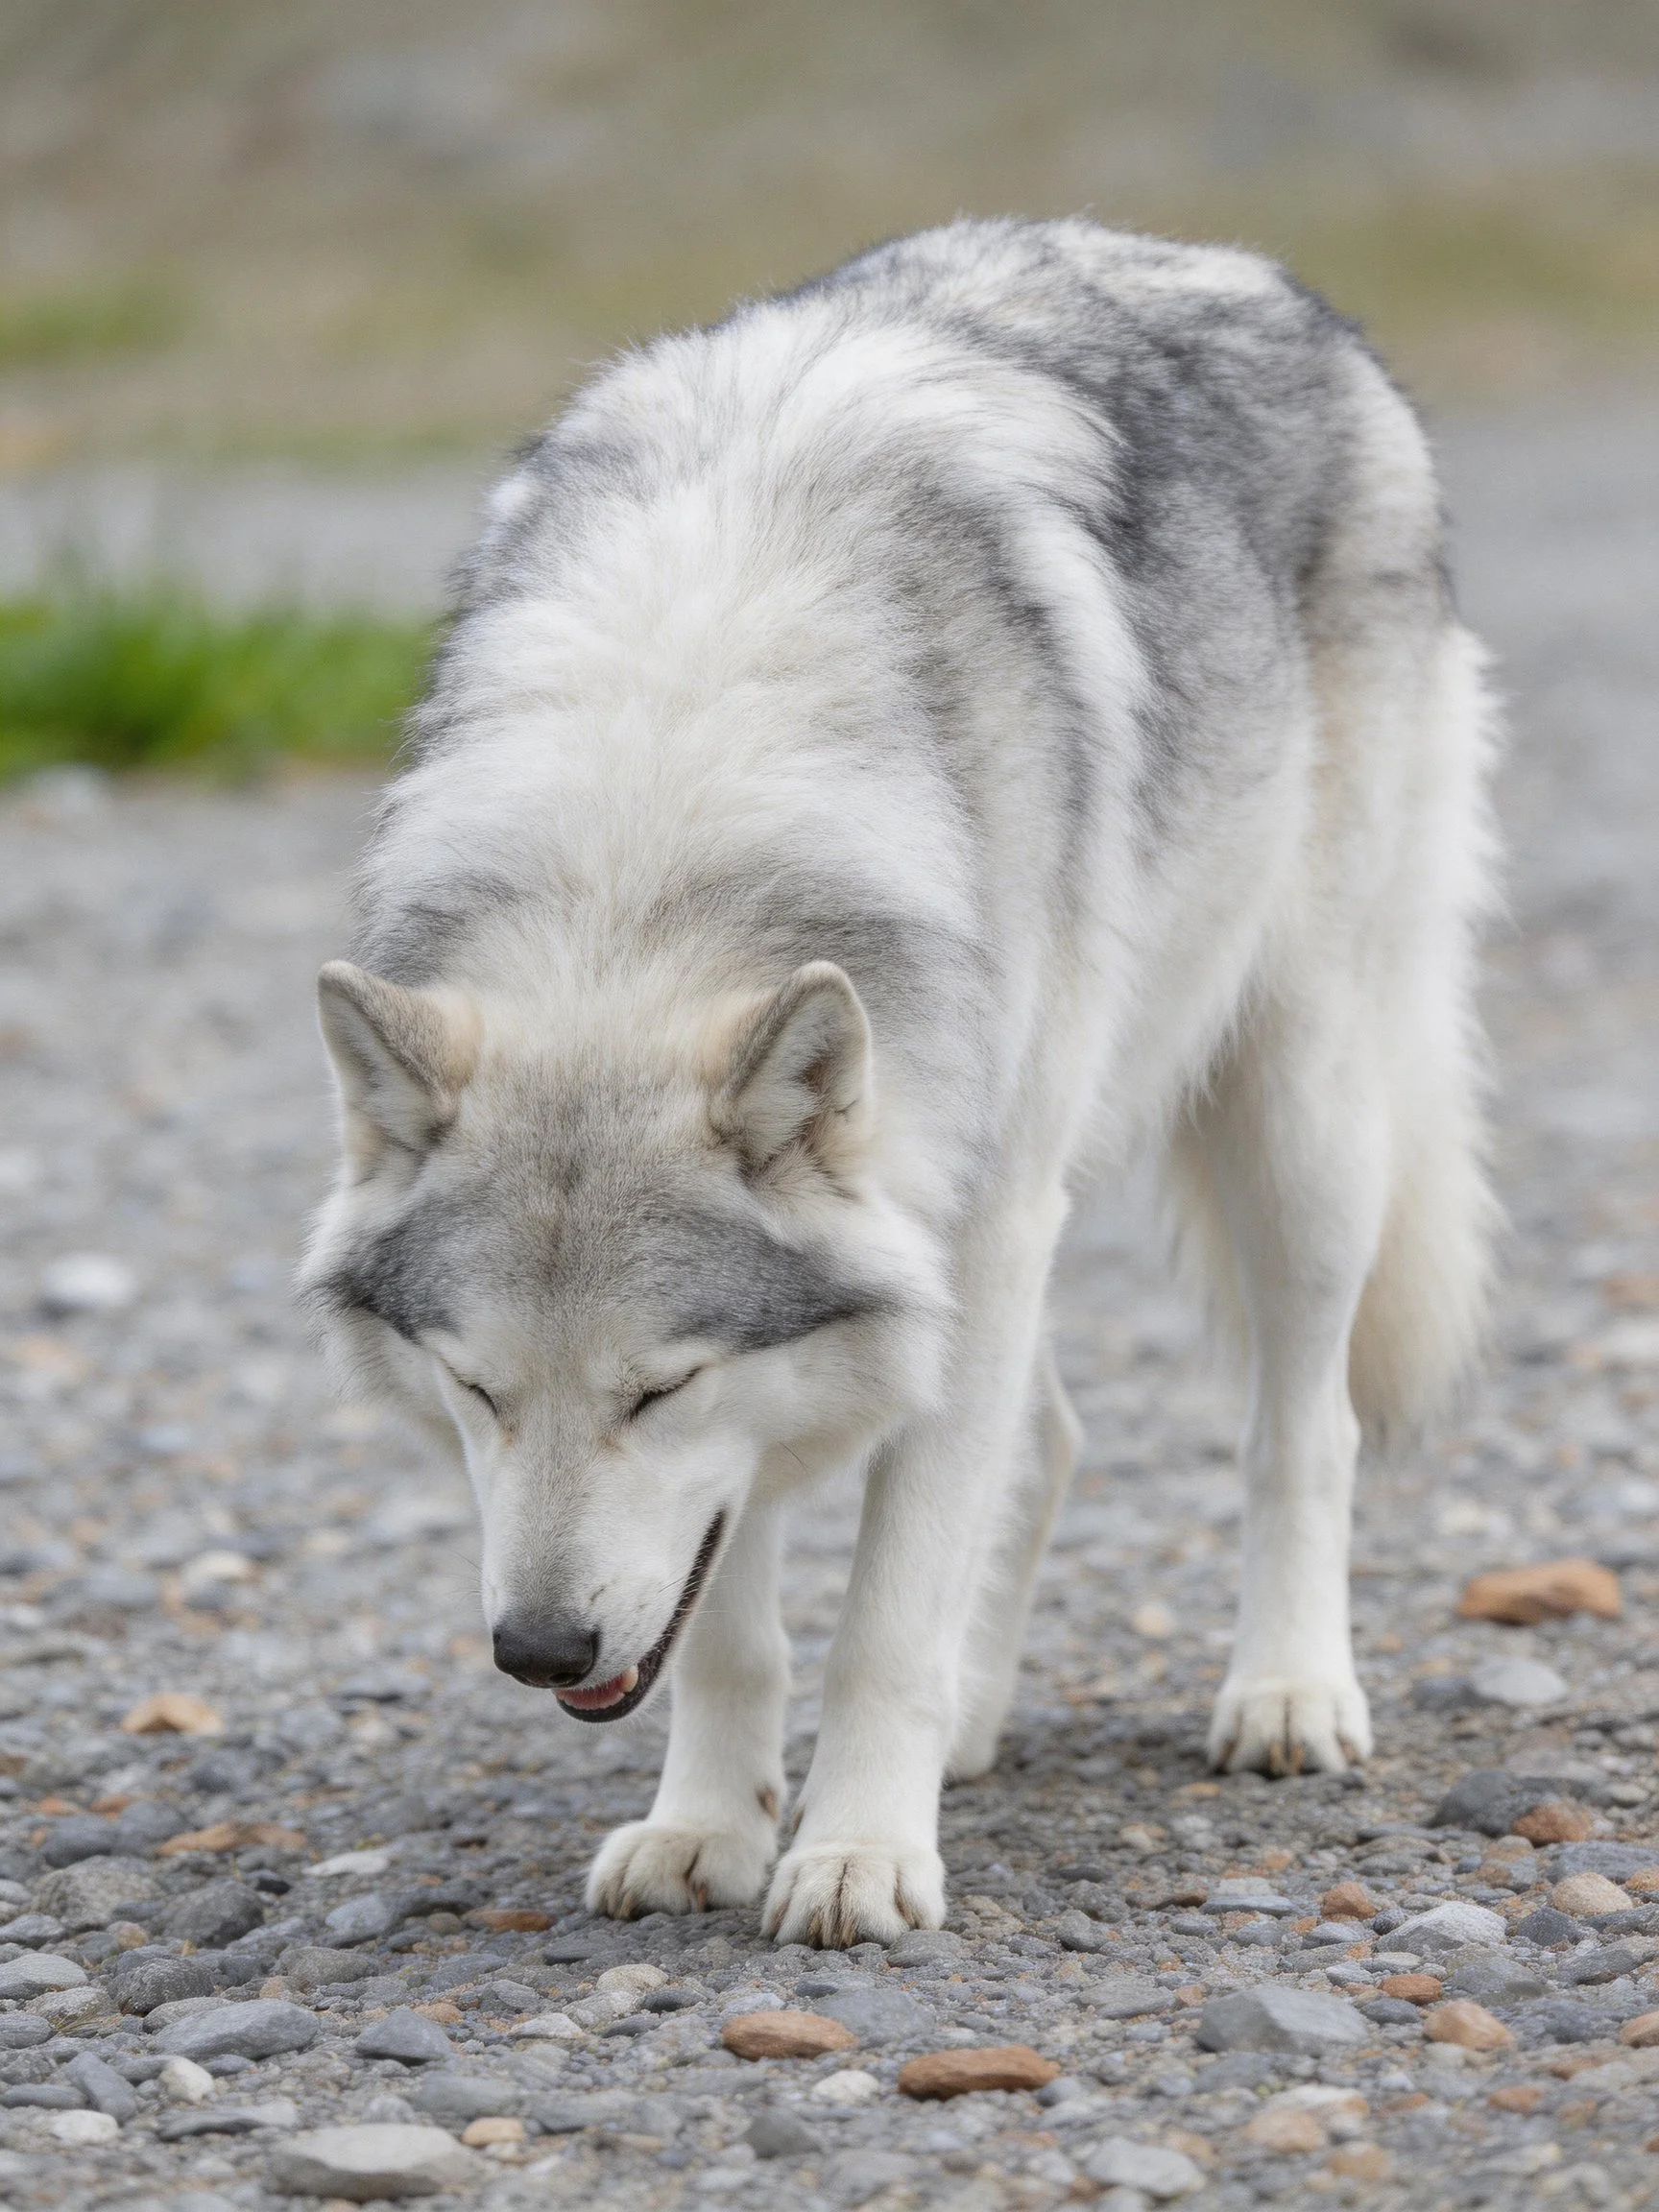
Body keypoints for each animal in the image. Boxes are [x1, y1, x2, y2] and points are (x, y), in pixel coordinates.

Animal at [302, 218, 1498, 1948]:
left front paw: (860, 1849)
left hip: (1294, 1124)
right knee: (1048, 1443)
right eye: (474, 1388)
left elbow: (882, 1620)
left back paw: (1284, 1694)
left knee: (1304, 1426)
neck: (648, 846)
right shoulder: (810, 1374)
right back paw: (979, 1726)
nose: (535, 1649)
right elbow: (728, 1628)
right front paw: (706, 1830)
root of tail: (1242, 267)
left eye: (651, 1388)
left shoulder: (949, 1250)